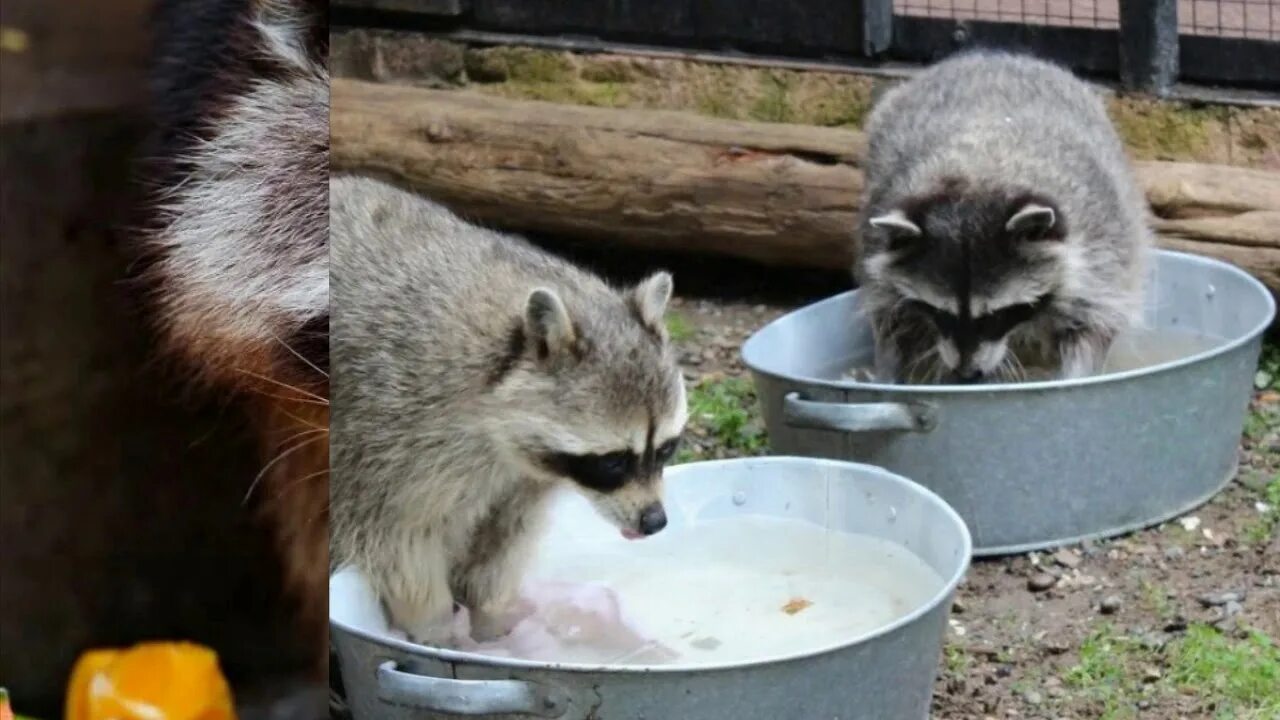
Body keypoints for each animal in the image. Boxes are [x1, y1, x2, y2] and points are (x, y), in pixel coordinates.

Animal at [332, 175, 691, 645]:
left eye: (666, 448)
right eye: (613, 461)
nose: (654, 521)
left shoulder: (522, 477)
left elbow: (504, 538)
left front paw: (491, 616)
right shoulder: (386, 431)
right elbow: (398, 539)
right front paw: (435, 629)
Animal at [860, 49, 1152, 384]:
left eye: (995, 315)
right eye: (940, 312)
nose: (967, 374)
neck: (975, 175)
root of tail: (991, 55)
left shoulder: (1101, 246)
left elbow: (1092, 326)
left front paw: (1073, 378)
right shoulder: (877, 239)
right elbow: (890, 318)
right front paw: (888, 372)